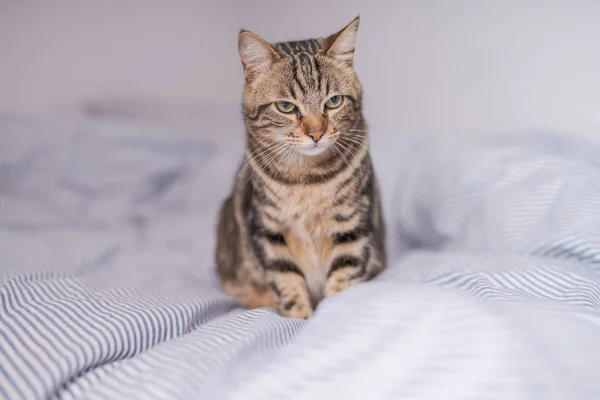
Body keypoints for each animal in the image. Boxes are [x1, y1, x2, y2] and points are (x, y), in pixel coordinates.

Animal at [216, 17, 384, 318]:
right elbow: (288, 283)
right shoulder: (269, 231)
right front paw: (300, 317)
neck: (306, 181)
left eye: (333, 101)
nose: (316, 133)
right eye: (285, 106)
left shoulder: (352, 226)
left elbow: (343, 281)